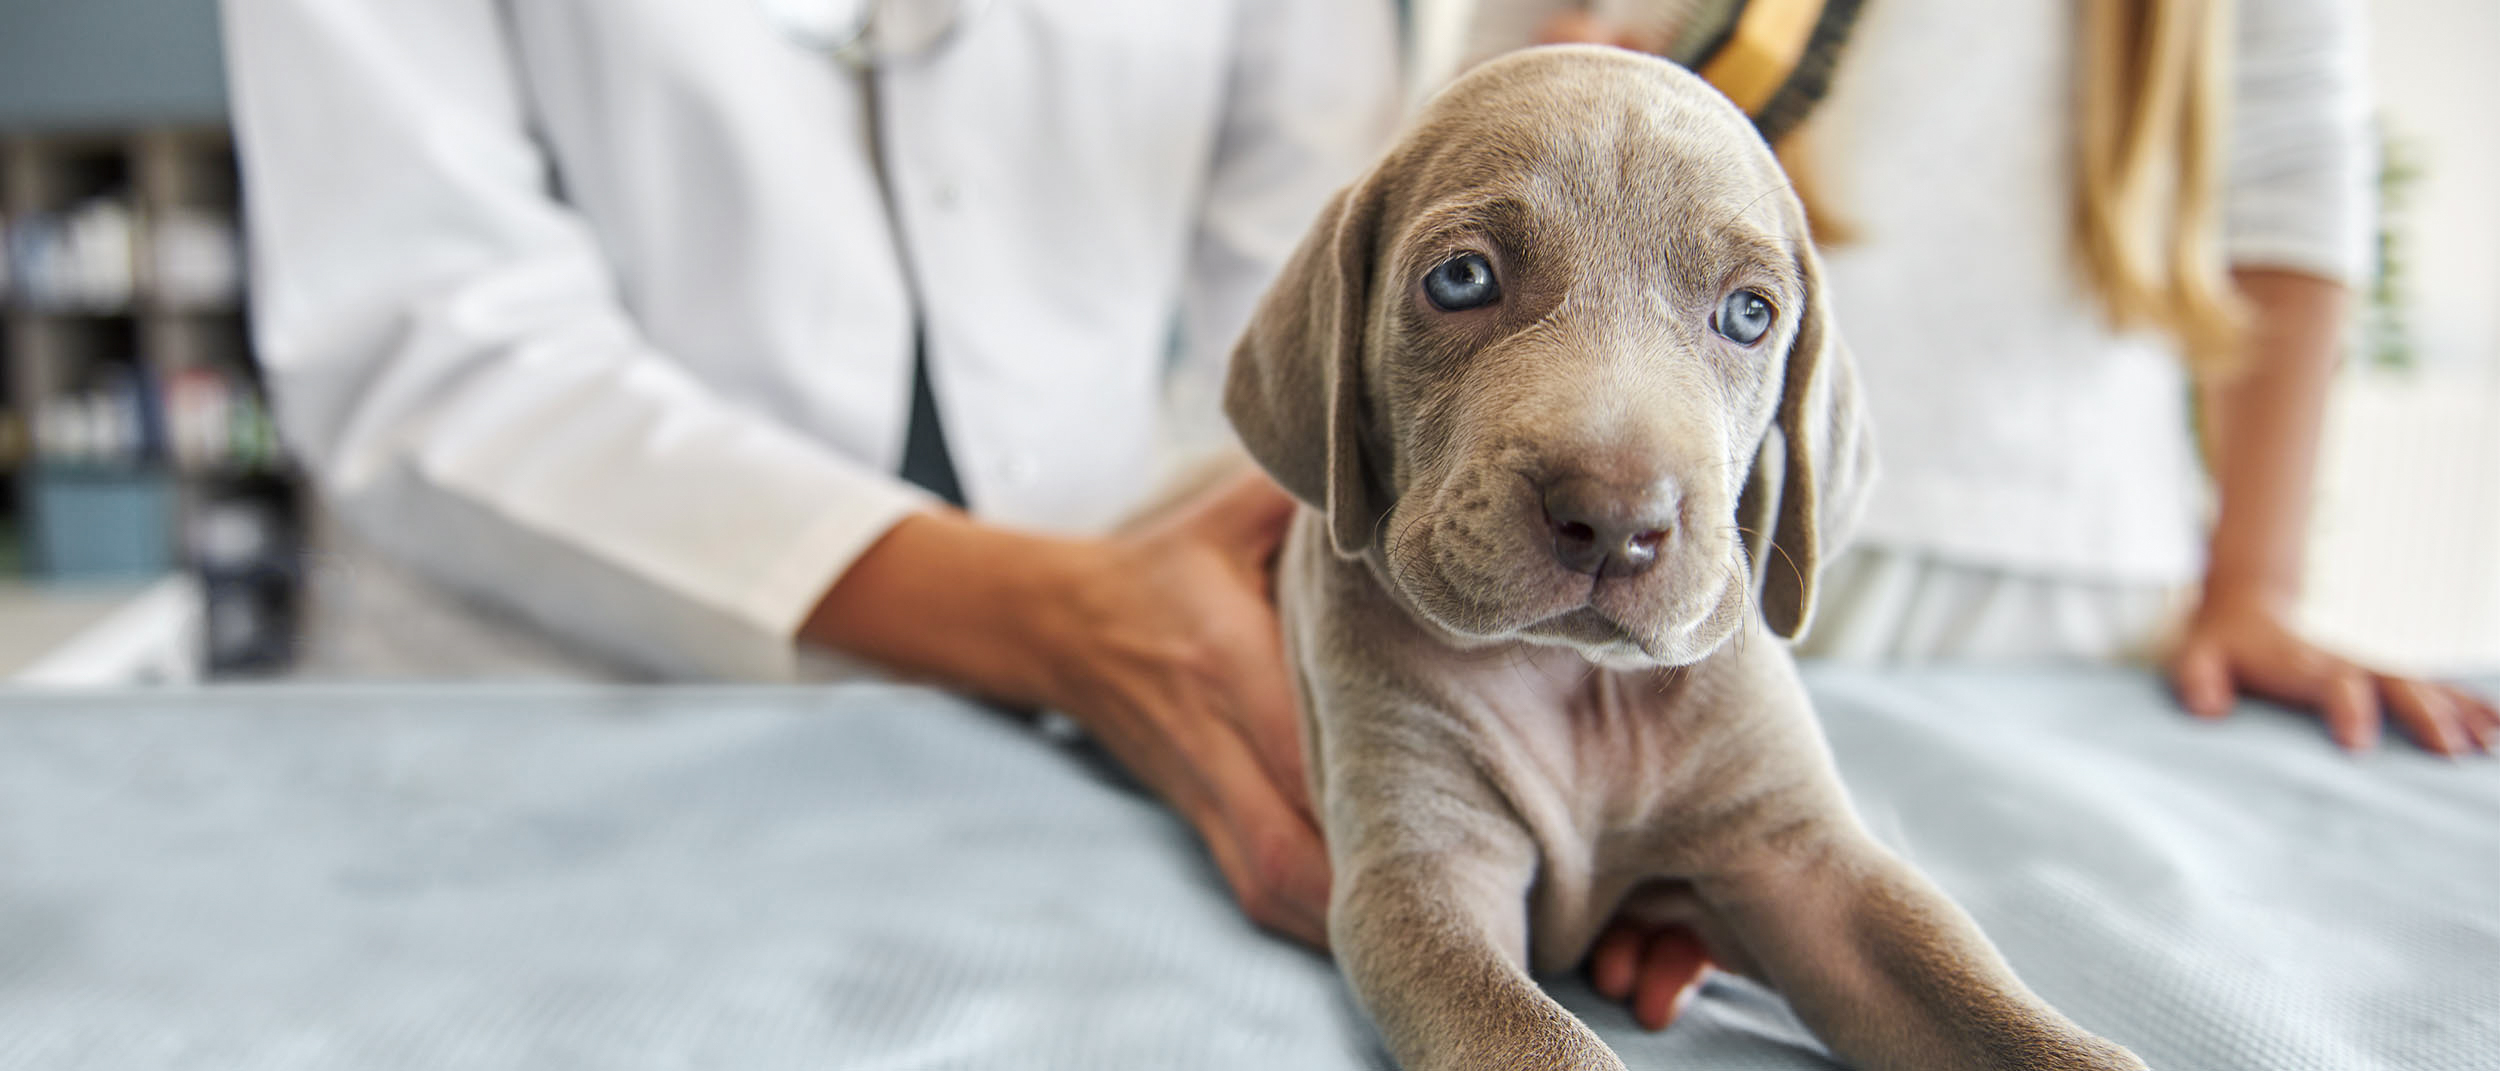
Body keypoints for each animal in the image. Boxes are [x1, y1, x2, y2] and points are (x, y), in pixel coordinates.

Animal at [1220, 45, 2140, 1065]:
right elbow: (1541, 1037)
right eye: (1461, 278)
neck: (1579, 682)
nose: (1616, 519)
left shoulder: (1804, 861)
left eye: (1748, 314)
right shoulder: (1424, 872)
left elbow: (1981, 997)